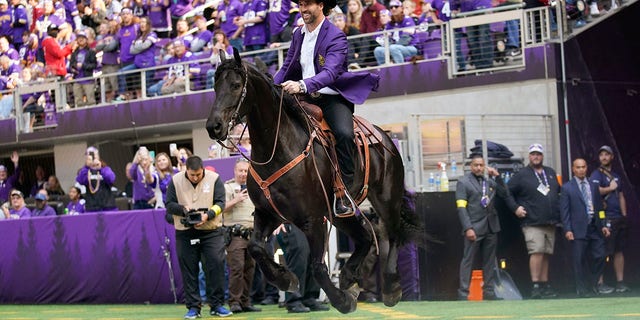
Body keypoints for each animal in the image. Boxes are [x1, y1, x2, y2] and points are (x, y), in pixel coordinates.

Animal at [206, 53, 424, 316]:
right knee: (365, 238)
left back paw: (391, 287)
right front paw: (286, 279)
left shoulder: (312, 218)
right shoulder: (268, 213)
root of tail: (384, 137)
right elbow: (256, 248)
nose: (213, 126)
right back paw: (349, 276)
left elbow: (318, 267)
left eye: (236, 85)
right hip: (338, 213)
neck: (278, 147)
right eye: (215, 86)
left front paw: (342, 301)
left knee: (391, 235)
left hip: (386, 197)